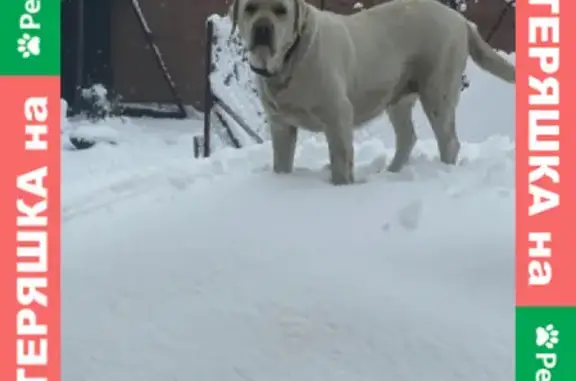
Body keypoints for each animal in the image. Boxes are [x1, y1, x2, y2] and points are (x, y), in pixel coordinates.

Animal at [228, 0, 512, 185]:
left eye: (281, 11)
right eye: (250, 8)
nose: (262, 27)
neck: (288, 60)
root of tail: (461, 19)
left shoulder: (338, 117)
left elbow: (341, 163)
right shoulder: (281, 125)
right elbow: (282, 164)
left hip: (437, 92)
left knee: (449, 142)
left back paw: (443, 173)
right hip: (398, 99)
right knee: (407, 137)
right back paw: (391, 174)